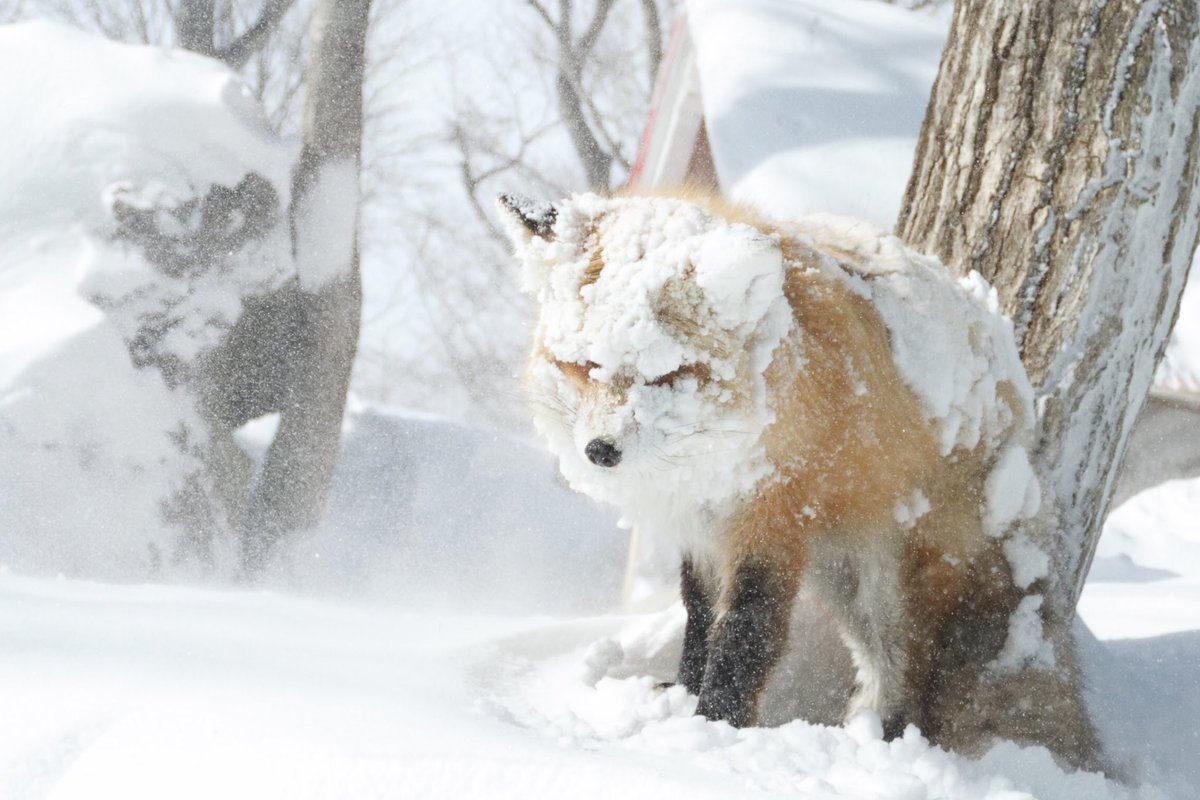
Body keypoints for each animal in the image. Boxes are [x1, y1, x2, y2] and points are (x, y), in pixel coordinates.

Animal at [496, 190, 1104, 772]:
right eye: (580, 366)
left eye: (666, 374)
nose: (601, 451)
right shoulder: (702, 527)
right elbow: (700, 617)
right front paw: (682, 695)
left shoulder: (775, 520)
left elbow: (747, 631)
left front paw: (714, 725)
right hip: (844, 580)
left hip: (896, 585)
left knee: (912, 676)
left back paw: (883, 743)